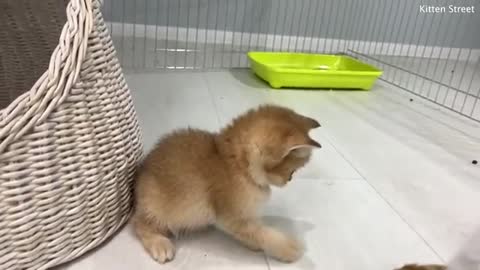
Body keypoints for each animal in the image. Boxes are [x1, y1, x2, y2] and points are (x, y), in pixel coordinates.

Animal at [132, 105, 318, 264]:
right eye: (293, 170)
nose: (290, 179)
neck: (238, 165)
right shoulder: (232, 218)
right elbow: (261, 233)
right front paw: (288, 248)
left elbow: (254, 231)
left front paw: (254, 244)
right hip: (159, 209)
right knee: (139, 224)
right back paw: (159, 243)